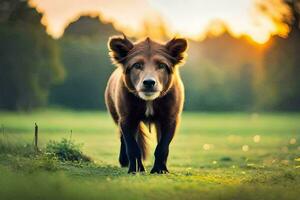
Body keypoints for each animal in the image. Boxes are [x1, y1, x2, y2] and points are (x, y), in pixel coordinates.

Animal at [104, 35, 186, 173]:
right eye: (137, 65)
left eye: (161, 65)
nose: (149, 82)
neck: (149, 101)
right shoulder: (127, 119)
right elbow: (132, 147)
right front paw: (135, 170)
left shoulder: (170, 119)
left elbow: (162, 147)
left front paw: (160, 170)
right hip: (116, 116)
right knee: (122, 138)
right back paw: (123, 161)